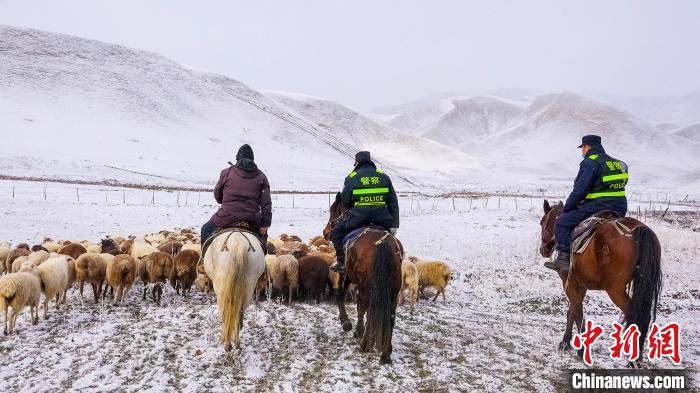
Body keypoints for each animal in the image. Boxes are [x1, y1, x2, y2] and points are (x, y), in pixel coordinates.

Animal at [326, 193, 402, 364]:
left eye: (333, 210)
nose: (325, 233)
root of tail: (382, 243)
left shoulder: (347, 275)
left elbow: (342, 297)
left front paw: (347, 324)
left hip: (366, 285)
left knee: (365, 306)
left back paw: (365, 344)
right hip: (392, 289)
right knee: (390, 314)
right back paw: (386, 352)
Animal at [540, 199, 660, 362]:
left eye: (542, 222)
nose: (543, 250)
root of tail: (637, 230)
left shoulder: (568, 283)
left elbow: (578, 313)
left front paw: (581, 349)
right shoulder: (580, 284)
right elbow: (572, 311)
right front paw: (566, 342)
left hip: (615, 290)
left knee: (634, 314)